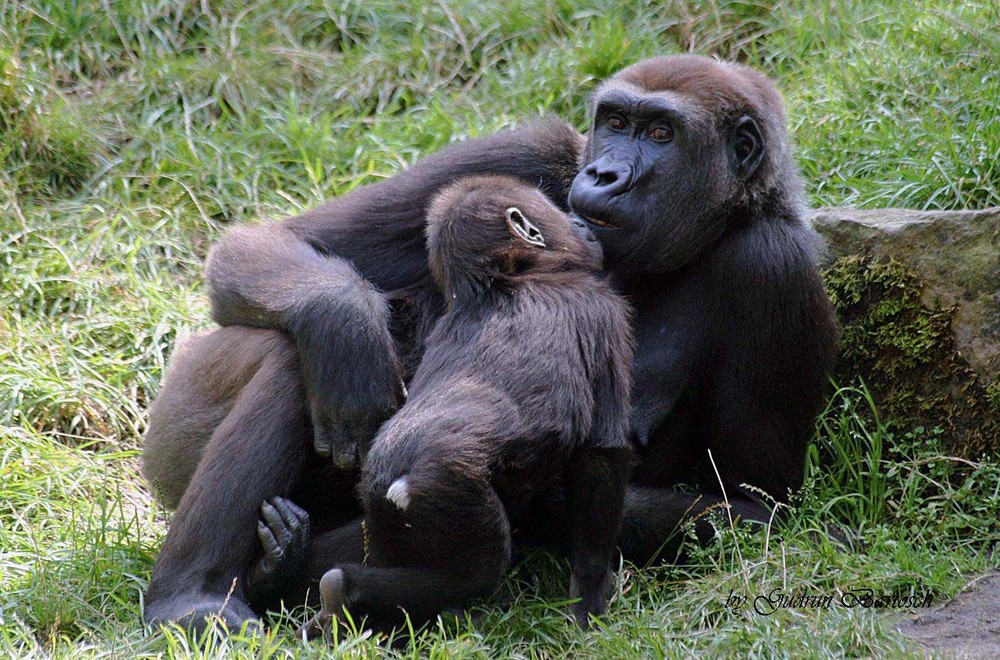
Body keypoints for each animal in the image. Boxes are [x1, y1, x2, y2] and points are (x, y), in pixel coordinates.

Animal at [292, 175, 632, 636]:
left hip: (377, 501)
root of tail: (396, 480)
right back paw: (354, 595)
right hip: (448, 491)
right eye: (557, 212)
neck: (499, 281)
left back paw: (344, 594)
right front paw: (591, 592)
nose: (581, 223)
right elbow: (601, 453)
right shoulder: (603, 309)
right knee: (473, 573)